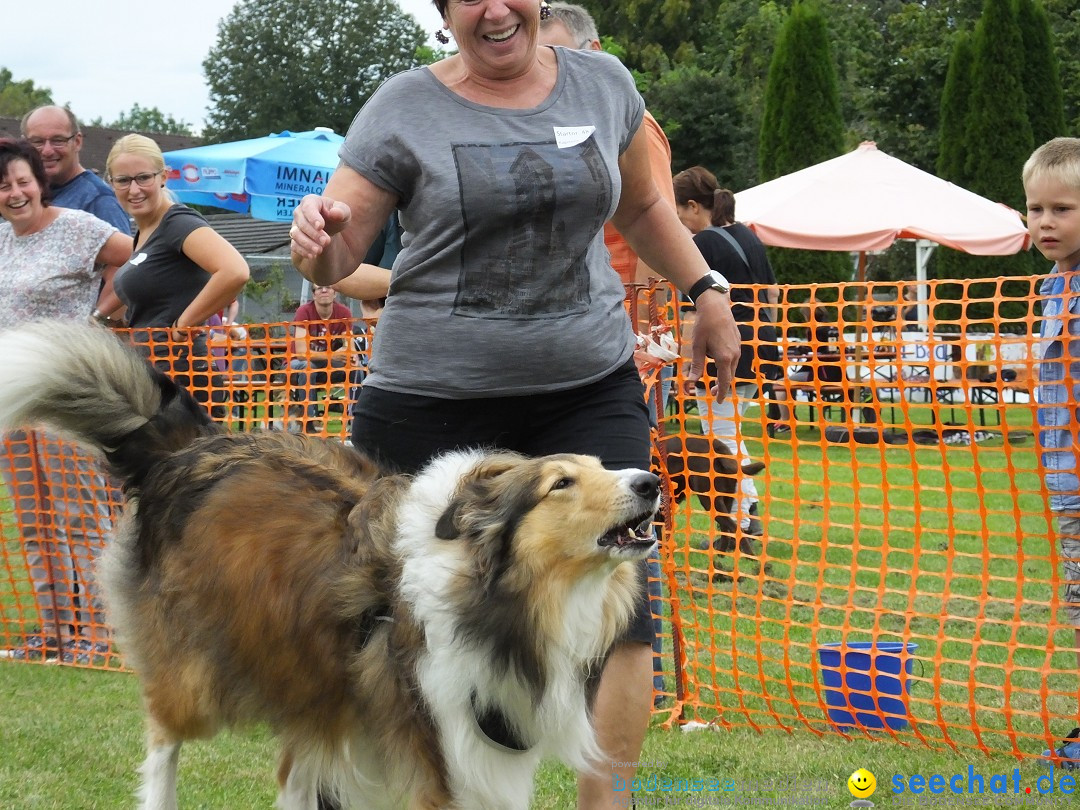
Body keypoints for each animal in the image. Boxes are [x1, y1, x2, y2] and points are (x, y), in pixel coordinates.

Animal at [0, 324, 656, 810]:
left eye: (601, 464)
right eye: (560, 483)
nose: (650, 482)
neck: (497, 595)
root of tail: (193, 447)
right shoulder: (444, 754)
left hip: (314, 686)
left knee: (294, 773)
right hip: (200, 674)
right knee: (164, 738)